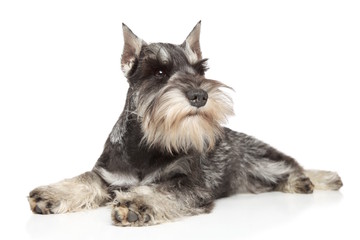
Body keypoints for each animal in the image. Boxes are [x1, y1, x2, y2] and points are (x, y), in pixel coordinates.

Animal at [28, 21, 344, 226]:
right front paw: (50, 195)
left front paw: (137, 203)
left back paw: (314, 179)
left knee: (293, 165)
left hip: (263, 159)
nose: (200, 94)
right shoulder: (108, 176)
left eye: (199, 70)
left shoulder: (190, 183)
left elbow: (164, 190)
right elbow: (84, 180)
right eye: (159, 72)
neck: (147, 146)